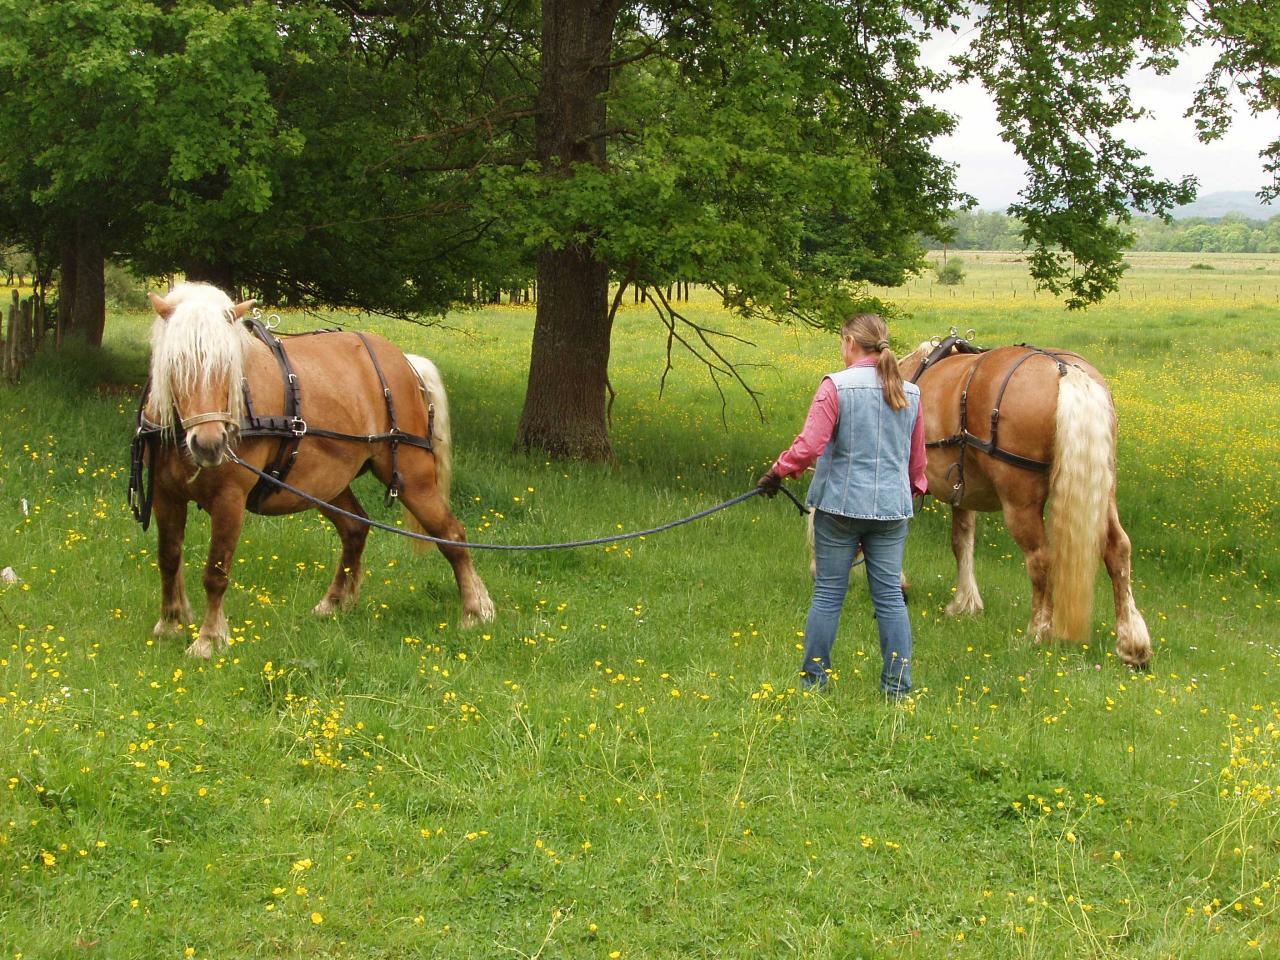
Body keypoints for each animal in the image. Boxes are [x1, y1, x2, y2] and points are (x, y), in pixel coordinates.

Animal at [135, 281, 491, 660]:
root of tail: (406, 361)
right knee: (354, 529)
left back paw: (475, 609)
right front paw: (170, 623)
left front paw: (209, 639)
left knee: (452, 535)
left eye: (229, 366)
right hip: (327, 484)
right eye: (176, 365)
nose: (209, 444)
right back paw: (334, 603)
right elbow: (169, 557)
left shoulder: (229, 499)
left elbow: (216, 571)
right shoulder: (164, 495)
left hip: (414, 478)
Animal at [896, 337, 1157, 670]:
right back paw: (1132, 645)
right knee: (1118, 551)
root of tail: (1067, 372)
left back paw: (1037, 633)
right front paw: (965, 603)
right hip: (1104, 488)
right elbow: (962, 541)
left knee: (1040, 558)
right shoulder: (961, 491)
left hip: (1019, 501)